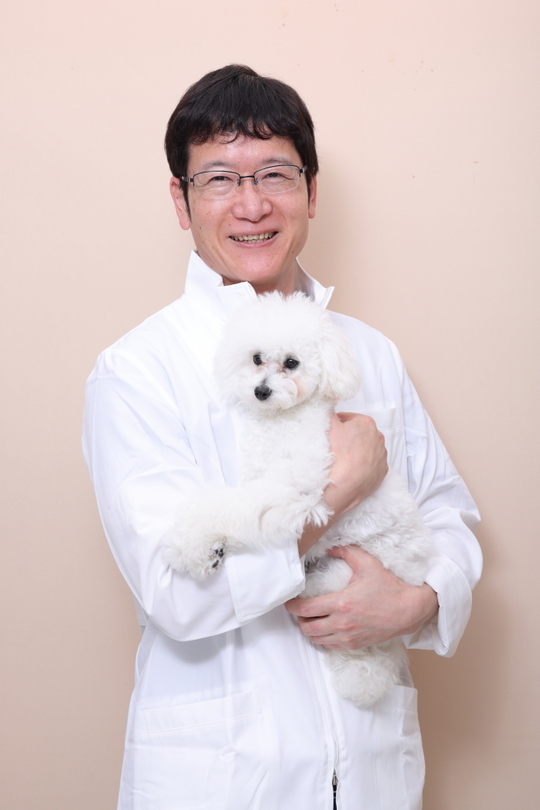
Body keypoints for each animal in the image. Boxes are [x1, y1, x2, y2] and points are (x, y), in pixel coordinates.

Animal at [166, 292, 433, 707]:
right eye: (256, 358)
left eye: (292, 363)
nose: (261, 391)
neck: (280, 423)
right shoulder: (257, 480)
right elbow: (224, 503)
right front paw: (198, 545)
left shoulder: (293, 489)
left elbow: (230, 508)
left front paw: (194, 544)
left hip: (349, 575)